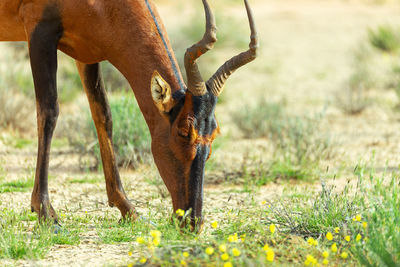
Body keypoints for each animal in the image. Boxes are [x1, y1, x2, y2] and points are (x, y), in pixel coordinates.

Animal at [0, 0, 256, 229]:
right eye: (183, 132)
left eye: (214, 134)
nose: (192, 222)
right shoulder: (39, 32)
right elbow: (49, 112)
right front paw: (47, 215)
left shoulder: (87, 54)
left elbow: (103, 115)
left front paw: (129, 209)